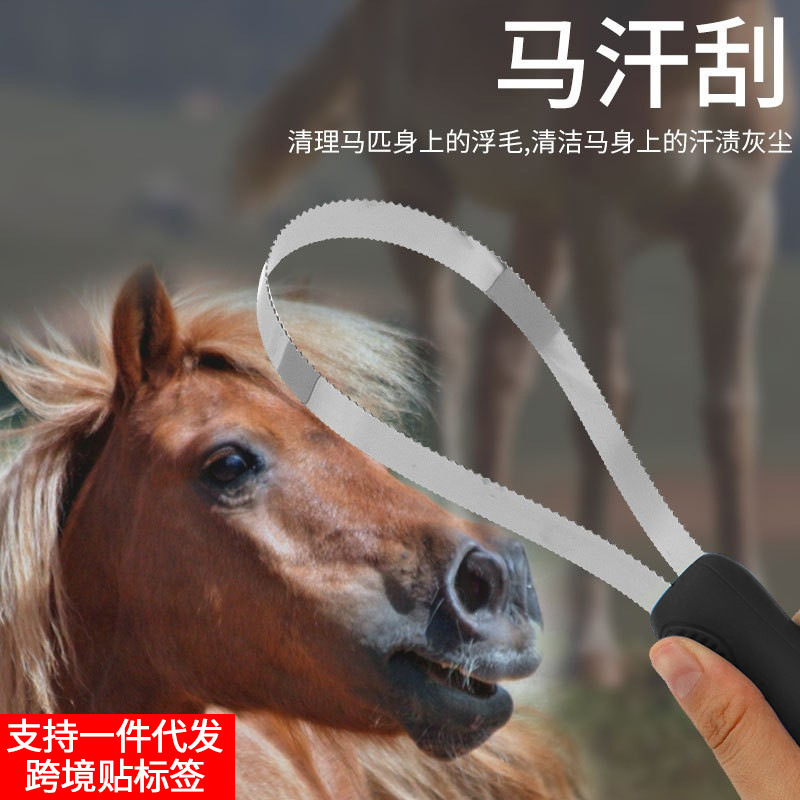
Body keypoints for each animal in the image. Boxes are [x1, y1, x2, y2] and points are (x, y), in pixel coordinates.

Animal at [234, 0, 794, 684]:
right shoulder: (598, 225)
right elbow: (606, 409)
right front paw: (592, 651)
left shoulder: (740, 233)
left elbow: (731, 414)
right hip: (420, 187)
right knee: (444, 345)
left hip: (540, 224)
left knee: (497, 365)